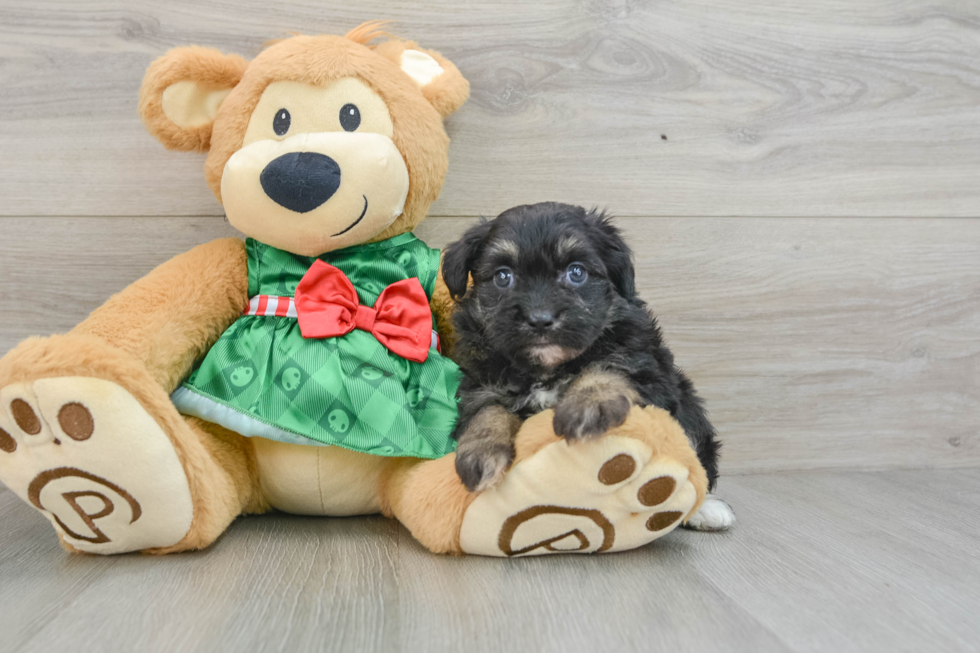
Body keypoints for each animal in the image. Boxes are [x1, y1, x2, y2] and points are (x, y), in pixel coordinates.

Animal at [444, 200, 736, 528]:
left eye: (577, 272)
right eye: (503, 277)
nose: (540, 319)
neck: (548, 368)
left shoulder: (646, 368)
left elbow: (606, 365)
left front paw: (587, 405)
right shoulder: (481, 384)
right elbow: (487, 409)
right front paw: (480, 452)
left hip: (691, 410)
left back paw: (705, 510)